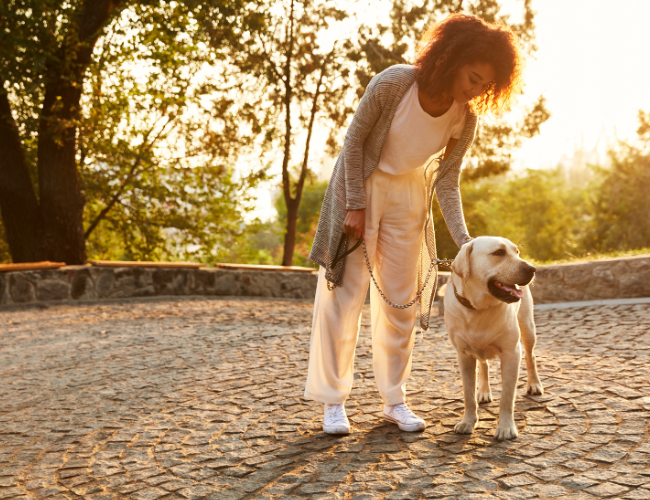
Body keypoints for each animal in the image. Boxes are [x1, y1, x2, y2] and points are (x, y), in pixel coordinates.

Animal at [440, 236, 540, 440]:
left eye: (516, 252)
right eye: (499, 252)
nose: (532, 268)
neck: (479, 308)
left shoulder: (511, 354)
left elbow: (507, 397)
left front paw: (506, 427)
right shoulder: (464, 356)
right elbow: (468, 394)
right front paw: (467, 422)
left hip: (528, 328)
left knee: (531, 356)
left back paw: (534, 385)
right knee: (484, 365)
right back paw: (484, 392)